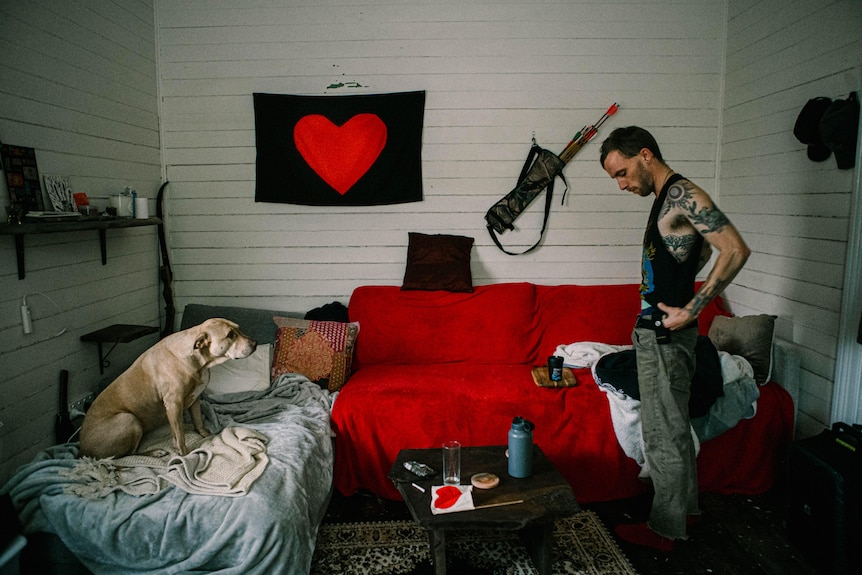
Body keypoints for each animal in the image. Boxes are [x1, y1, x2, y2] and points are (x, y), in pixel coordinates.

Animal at [79, 320, 258, 460]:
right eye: (230, 335)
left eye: (238, 329)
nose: (255, 343)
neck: (199, 360)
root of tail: (83, 451)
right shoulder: (174, 405)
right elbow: (180, 435)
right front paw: (185, 455)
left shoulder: (195, 399)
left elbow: (197, 422)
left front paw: (206, 435)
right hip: (129, 419)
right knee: (127, 454)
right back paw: (155, 452)